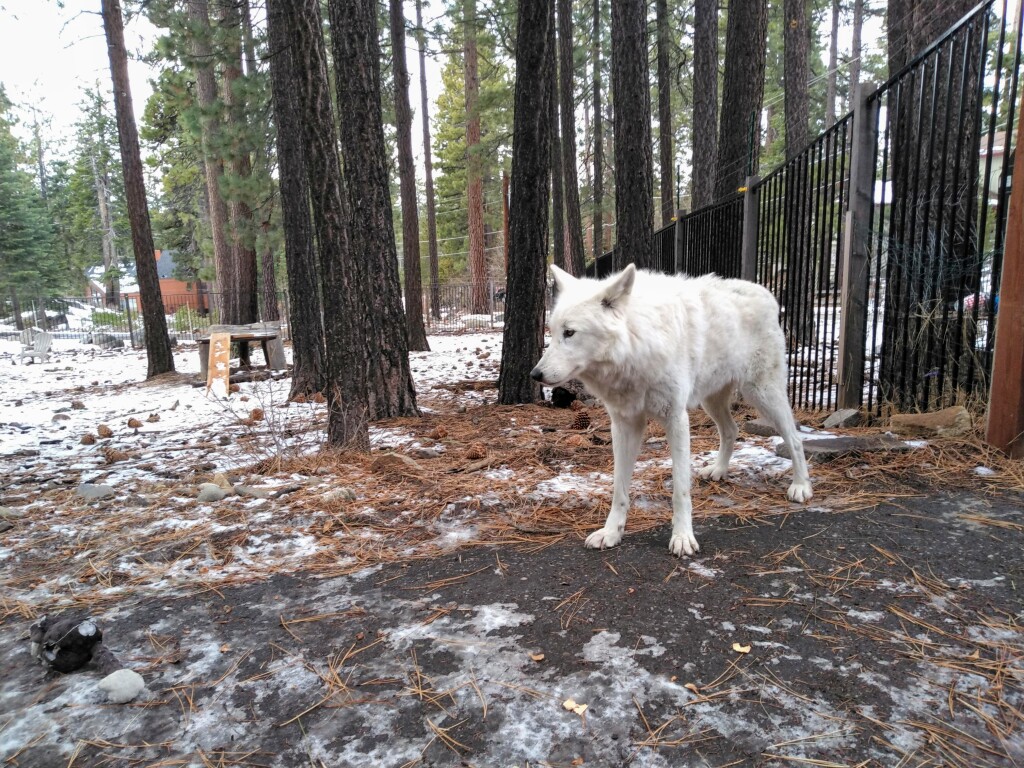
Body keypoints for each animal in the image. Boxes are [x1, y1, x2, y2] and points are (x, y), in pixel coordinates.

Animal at [531, 264, 813, 556]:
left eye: (570, 332)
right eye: (553, 331)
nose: (535, 374)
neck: (637, 344)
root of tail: (766, 292)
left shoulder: (676, 419)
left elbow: (680, 490)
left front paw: (683, 537)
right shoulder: (624, 424)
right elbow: (619, 489)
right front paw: (611, 533)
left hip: (763, 394)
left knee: (794, 438)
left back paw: (801, 486)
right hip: (712, 401)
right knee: (732, 430)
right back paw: (718, 470)